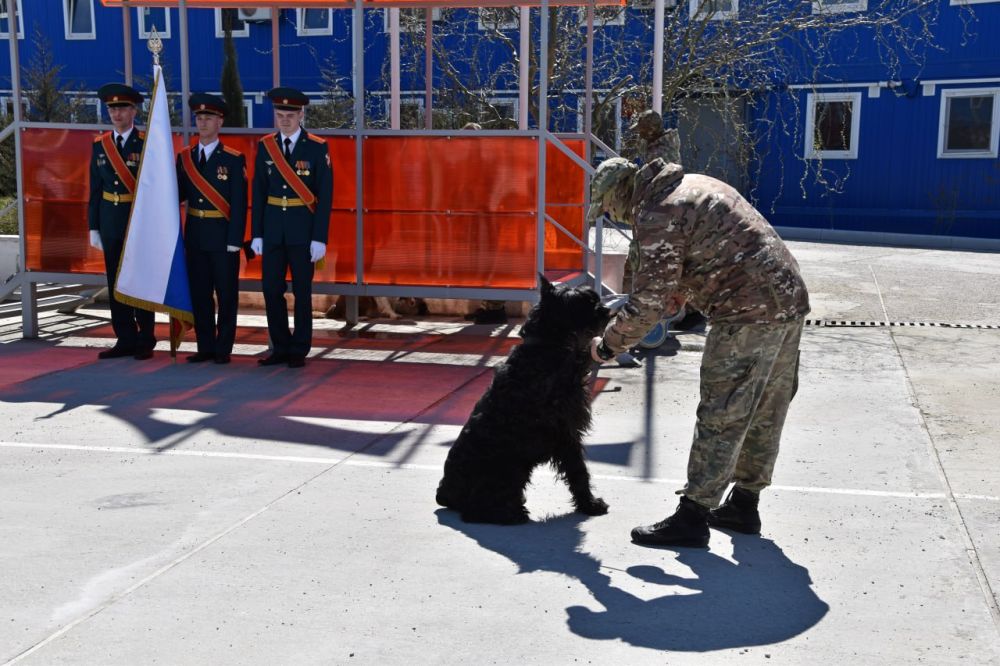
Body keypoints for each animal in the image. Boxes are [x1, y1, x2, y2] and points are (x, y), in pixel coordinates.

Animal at [436, 274, 608, 524]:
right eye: (582, 303)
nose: (606, 310)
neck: (544, 345)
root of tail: (444, 493)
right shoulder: (565, 433)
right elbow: (578, 471)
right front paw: (590, 504)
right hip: (510, 467)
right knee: (473, 511)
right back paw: (511, 514)